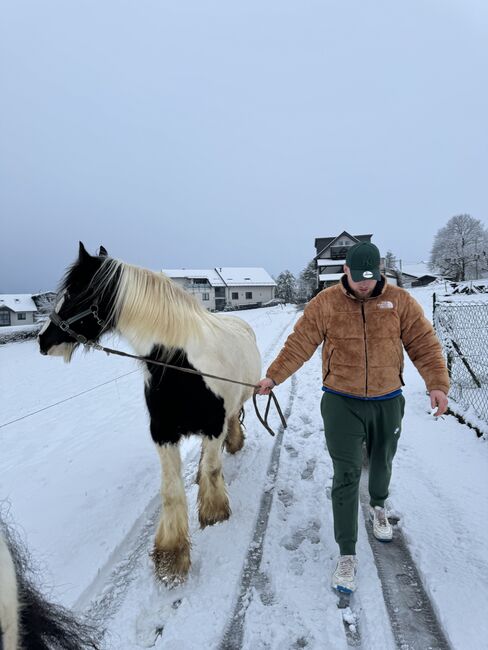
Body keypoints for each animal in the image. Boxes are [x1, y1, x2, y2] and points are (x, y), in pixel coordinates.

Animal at [37, 242, 264, 584]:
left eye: (76, 293)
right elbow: (170, 491)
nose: (43, 340)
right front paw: (171, 555)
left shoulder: (213, 426)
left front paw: (214, 513)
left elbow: (212, 469)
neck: (179, 364)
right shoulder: (163, 433)